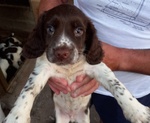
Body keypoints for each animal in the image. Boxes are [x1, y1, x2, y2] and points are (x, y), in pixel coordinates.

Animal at [2, 3, 150, 123]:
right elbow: (28, 90)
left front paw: (138, 111)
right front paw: (16, 117)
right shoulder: (42, 68)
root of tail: (72, 117)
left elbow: (117, 85)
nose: (62, 53)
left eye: (79, 31)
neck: (69, 67)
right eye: (50, 29)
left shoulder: (98, 67)